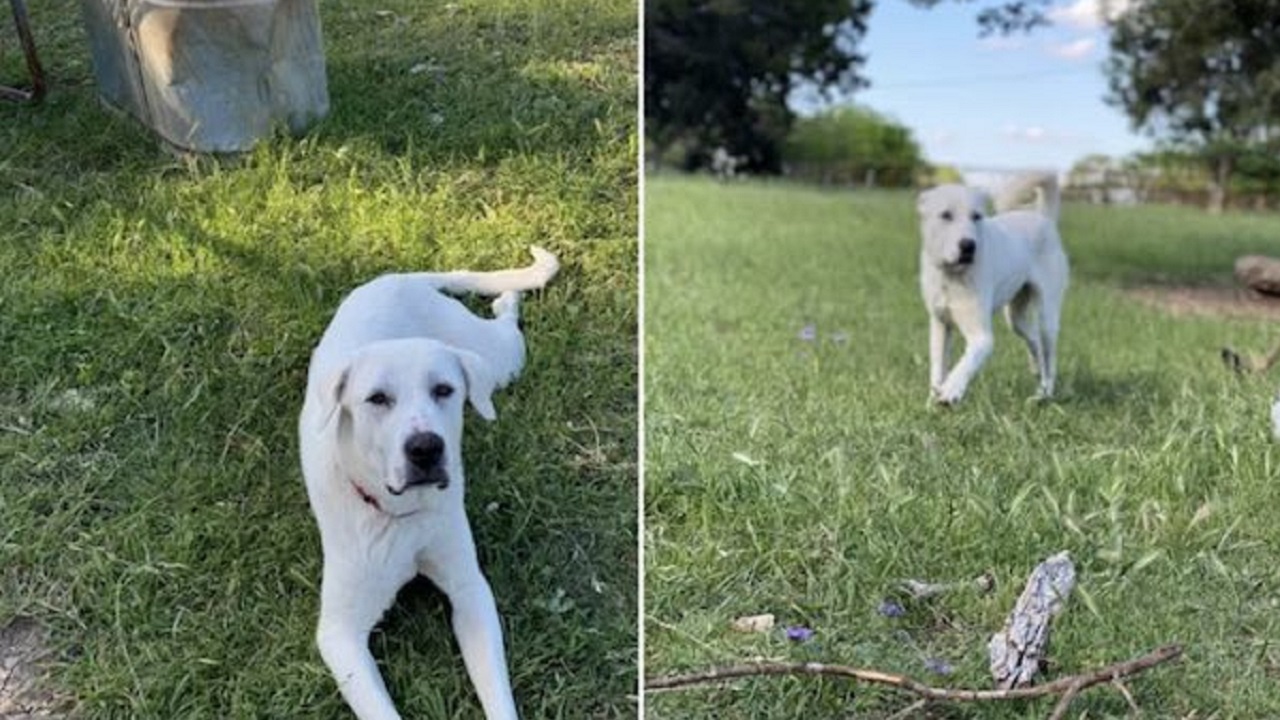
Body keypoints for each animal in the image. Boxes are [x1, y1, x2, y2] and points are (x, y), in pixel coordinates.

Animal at [302, 243, 563, 712]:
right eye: (377, 399)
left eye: (443, 390)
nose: (425, 448)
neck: (401, 515)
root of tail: (400, 278)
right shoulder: (339, 634)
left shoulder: (471, 591)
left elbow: (499, 696)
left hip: (498, 358)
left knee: (505, 330)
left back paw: (508, 301)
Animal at [921, 170, 1070, 399]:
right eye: (946, 215)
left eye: (976, 216)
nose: (968, 246)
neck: (952, 276)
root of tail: (1044, 219)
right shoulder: (940, 326)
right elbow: (937, 371)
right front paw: (931, 401)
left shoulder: (982, 338)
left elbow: (965, 363)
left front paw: (951, 391)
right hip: (1015, 319)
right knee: (1034, 341)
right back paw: (1036, 370)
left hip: (1048, 316)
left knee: (1050, 360)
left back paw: (1044, 394)